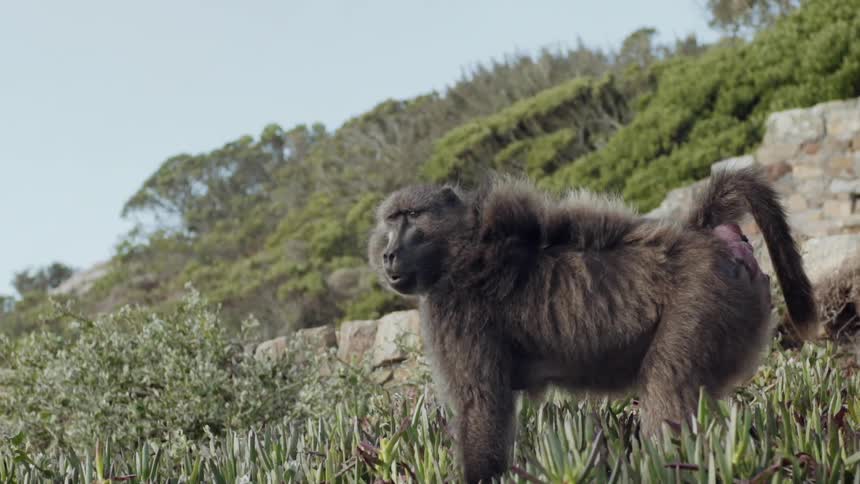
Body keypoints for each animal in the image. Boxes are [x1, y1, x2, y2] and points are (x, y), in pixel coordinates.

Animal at [367, 166, 817, 483]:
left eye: (412, 217)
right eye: (390, 220)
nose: (388, 254)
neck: (460, 246)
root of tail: (703, 237)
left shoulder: (455, 312)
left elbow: (481, 404)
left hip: (702, 301)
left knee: (668, 392)